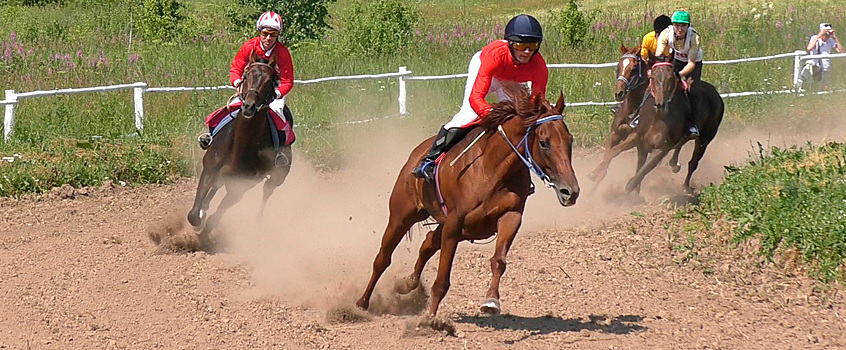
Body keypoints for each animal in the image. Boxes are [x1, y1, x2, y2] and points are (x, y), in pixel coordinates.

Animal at [187, 53, 294, 247]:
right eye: (246, 76)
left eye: (269, 81)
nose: (249, 106)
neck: (240, 147)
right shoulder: (209, 170)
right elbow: (194, 214)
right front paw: (200, 216)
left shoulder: (239, 188)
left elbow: (215, 218)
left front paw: (205, 236)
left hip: (277, 177)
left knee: (266, 193)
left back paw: (258, 221)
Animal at [354, 85, 580, 318]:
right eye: (544, 143)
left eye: (570, 140)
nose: (570, 191)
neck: (491, 170)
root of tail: (416, 154)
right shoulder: (454, 224)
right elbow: (442, 279)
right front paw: (429, 319)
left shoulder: (510, 217)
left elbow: (498, 261)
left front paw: (491, 301)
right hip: (401, 215)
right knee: (383, 258)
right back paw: (361, 303)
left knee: (428, 242)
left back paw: (407, 284)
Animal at [628, 54, 724, 194]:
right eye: (652, 77)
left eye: (670, 78)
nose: (660, 104)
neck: (657, 119)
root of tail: (716, 93)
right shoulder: (642, 145)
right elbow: (639, 170)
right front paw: (635, 192)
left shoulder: (660, 149)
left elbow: (641, 173)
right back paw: (674, 164)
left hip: (705, 139)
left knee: (693, 162)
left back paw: (686, 187)